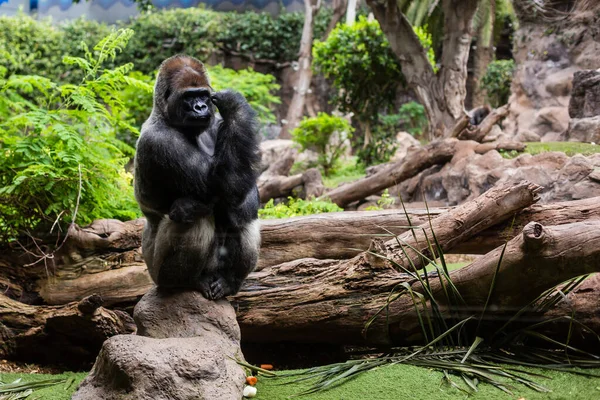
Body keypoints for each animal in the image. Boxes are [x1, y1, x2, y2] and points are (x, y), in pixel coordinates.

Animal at [135, 55, 262, 300]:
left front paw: (234, 108)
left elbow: (242, 190)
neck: (164, 115)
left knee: (243, 215)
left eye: (203, 95)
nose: (201, 107)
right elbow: (222, 185)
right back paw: (185, 282)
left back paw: (230, 281)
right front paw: (235, 105)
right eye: (189, 97)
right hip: (155, 273)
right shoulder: (160, 142)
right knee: (196, 217)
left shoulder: (214, 124)